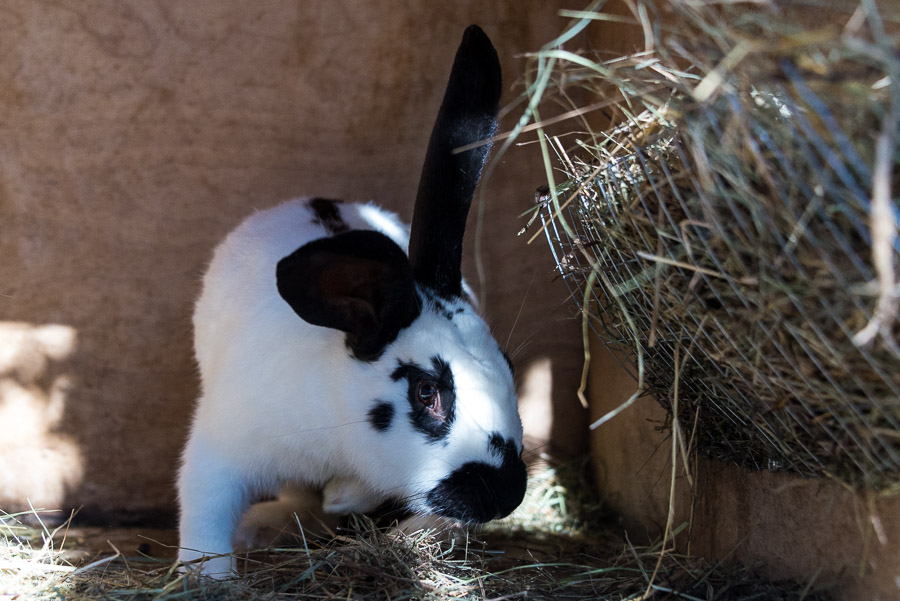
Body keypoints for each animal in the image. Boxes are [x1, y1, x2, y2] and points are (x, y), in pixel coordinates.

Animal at [178, 25, 528, 580]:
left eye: (510, 367)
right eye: (427, 392)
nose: (504, 495)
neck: (338, 432)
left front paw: (344, 496)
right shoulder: (222, 448)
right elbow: (204, 518)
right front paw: (209, 579)